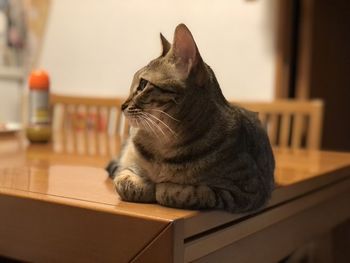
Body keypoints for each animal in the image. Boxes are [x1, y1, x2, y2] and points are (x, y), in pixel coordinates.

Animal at [105, 23, 274, 213]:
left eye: (142, 84)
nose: (122, 105)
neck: (164, 144)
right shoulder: (127, 166)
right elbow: (123, 180)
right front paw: (146, 185)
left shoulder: (245, 191)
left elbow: (186, 192)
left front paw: (162, 187)